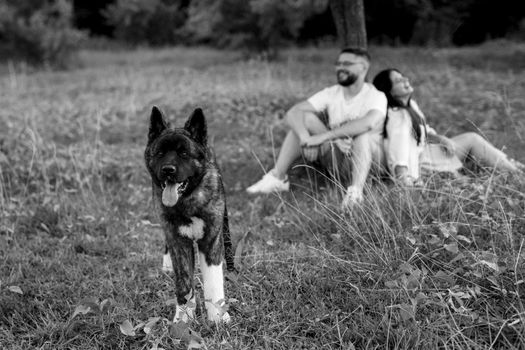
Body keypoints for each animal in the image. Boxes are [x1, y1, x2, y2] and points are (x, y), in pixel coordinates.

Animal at [143, 106, 233, 322]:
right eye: (160, 153)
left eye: (184, 153)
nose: (168, 169)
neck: (187, 200)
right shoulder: (178, 241)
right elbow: (183, 283)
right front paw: (183, 319)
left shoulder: (211, 241)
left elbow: (213, 283)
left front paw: (218, 318)